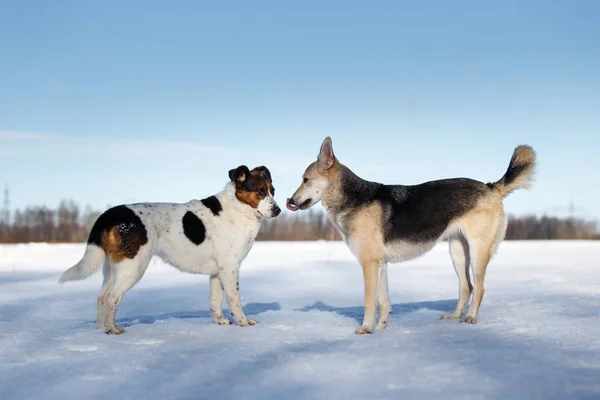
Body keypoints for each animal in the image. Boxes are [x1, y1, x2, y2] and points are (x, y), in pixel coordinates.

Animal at [286, 138, 536, 334]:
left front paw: (367, 328)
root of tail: (491, 187)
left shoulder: (369, 264)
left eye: (305, 179)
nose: (291, 200)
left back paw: (470, 318)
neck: (354, 198)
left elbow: (369, 301)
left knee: (480, 288)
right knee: (467, 287)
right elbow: (383, 301)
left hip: (477, 252)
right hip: (457, 252)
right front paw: (382, 326)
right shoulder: (381, 264)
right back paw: (454, 316)